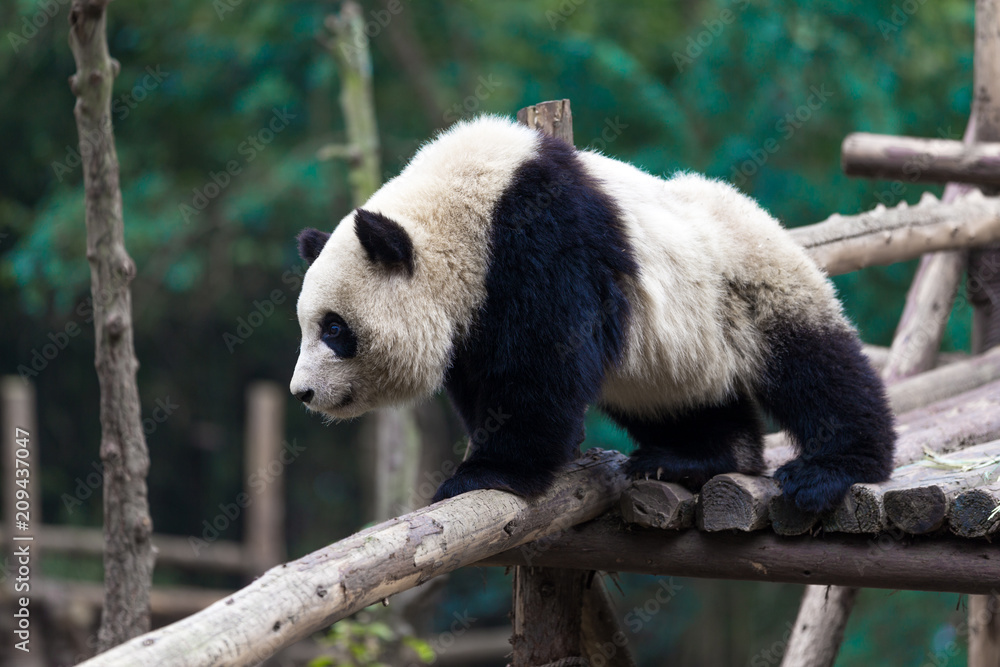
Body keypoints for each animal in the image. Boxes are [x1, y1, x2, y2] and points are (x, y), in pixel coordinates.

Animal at [288, 115, 892, 516]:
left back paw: (830, 469)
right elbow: (485, 377)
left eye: (335, 329)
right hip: (680, 355)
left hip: (749, 282)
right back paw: (697, 456)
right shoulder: (473, 309)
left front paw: (486, 474)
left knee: (819, 368)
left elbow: (542, 362)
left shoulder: (541, 239)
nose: (304, 393)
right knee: (685, 400)